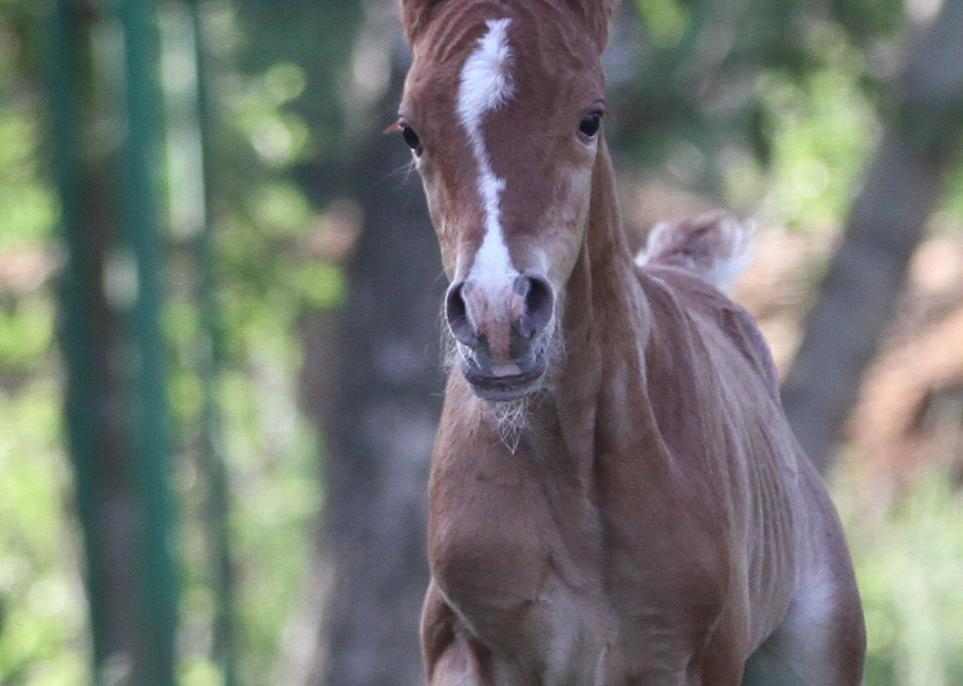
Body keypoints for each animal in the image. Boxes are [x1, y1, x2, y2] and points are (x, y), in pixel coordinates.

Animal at [392, 1, 868, 686]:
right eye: (410, 132)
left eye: (590, 118)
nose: (498, 318)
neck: (574, 481)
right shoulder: (462, 644)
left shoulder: (697, 659)